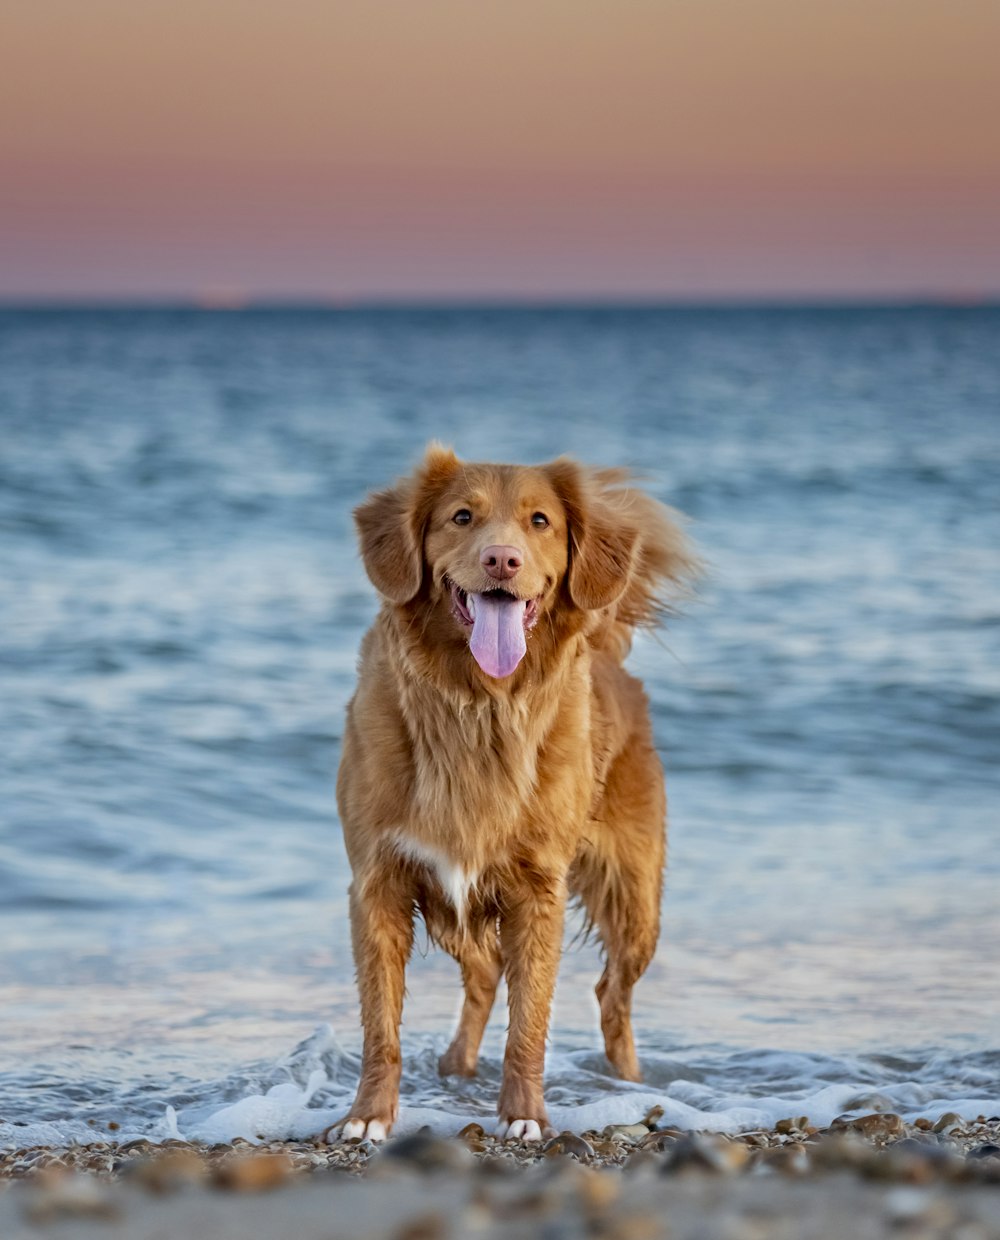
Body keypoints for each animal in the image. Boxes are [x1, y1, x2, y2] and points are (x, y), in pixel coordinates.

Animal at [337, 446, 694, 1140]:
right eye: (461, 516)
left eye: (539, 521)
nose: (502, 560)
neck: (478, 705)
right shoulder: (379, 883)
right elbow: (380, 1027)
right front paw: (369, 1118)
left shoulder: (537, 890)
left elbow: (529, 1022)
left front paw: (524, 1116)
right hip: (458, 906)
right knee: (483, 977)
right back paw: (455, 1065)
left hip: (635, 900)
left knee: (612, 996)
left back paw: (627, 1081)